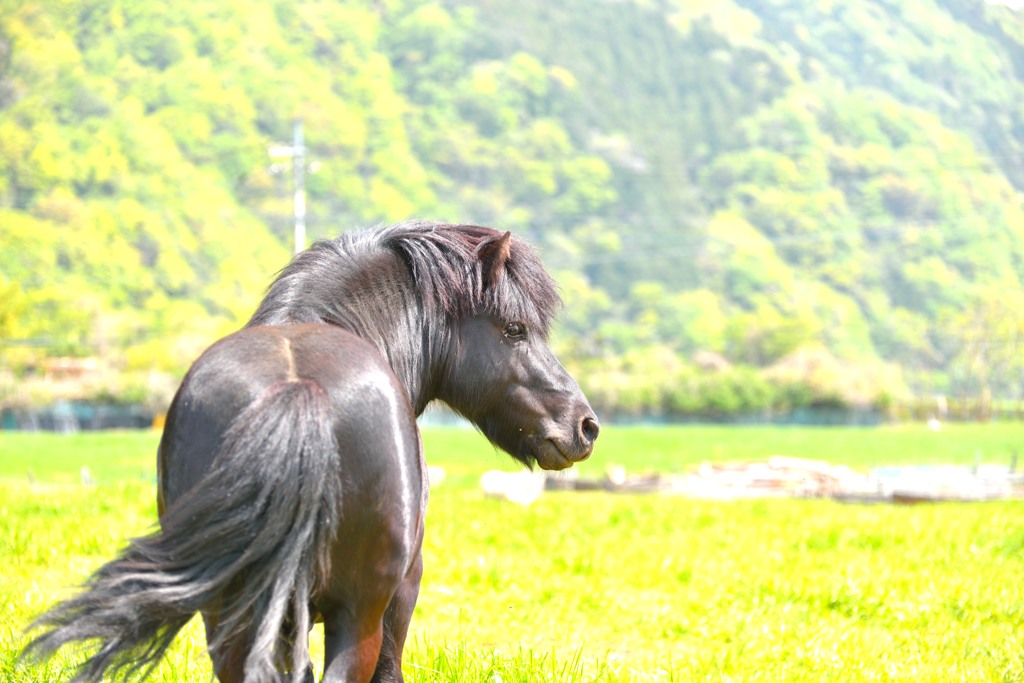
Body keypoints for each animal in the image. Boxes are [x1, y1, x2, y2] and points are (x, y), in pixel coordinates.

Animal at [25, 222, 598, 679]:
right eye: (515, 329)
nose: (585, 425)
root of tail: (298, 391)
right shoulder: (399, 599)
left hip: (233, 617)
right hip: (357, 617)